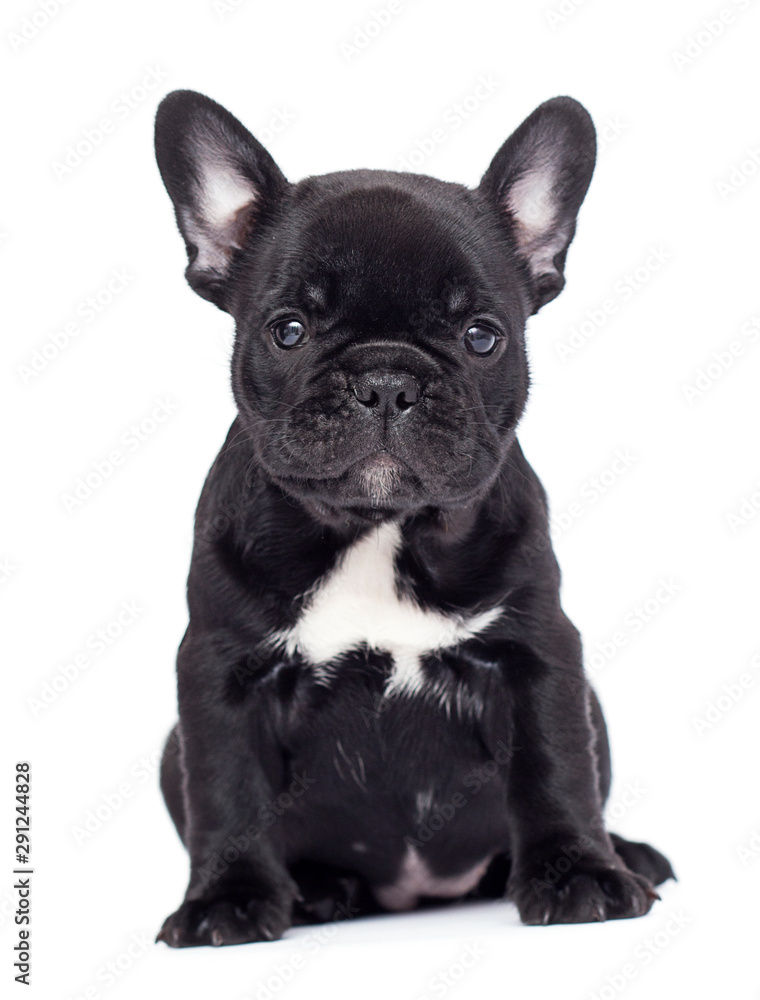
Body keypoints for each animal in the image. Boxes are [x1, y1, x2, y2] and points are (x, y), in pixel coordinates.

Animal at [153, 92, 672, 944]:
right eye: (288, 329)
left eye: (481, 336)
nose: (387, 377)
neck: (378, 526)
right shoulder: (220, 670)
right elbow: (227, 789)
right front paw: (226, 898)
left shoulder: (538, 655)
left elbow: (556, 768)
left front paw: (580, 875)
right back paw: (317, 889)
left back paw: (621, 853)